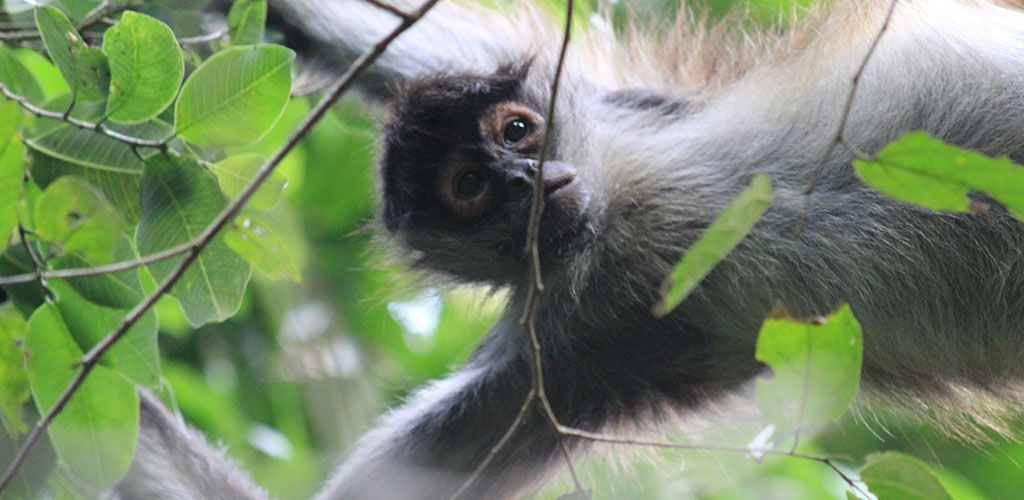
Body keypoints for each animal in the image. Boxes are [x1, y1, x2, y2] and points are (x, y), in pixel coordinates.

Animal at [110, 0, 1024, 497]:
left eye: (518, 130)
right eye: (469, 186)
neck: (618, 231)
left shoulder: (626, 116)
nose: (525, 180)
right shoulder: (570, 350)